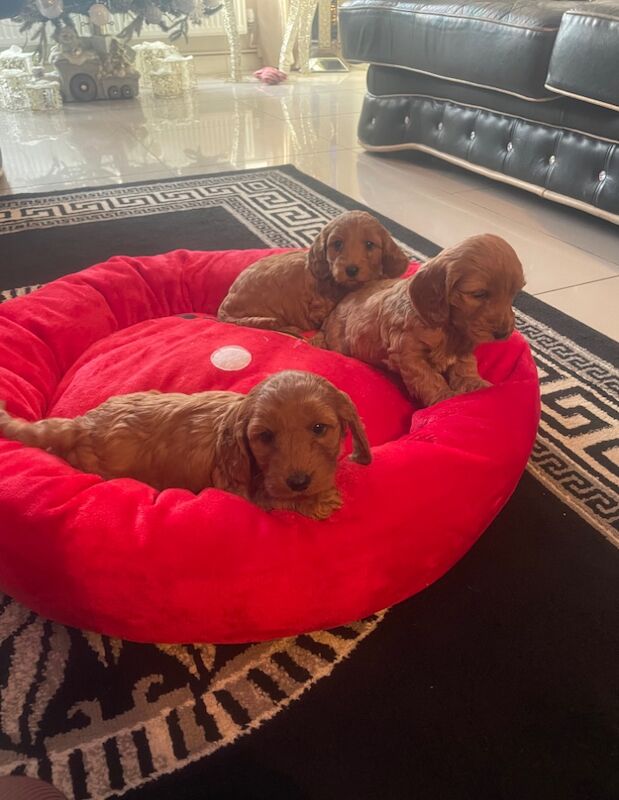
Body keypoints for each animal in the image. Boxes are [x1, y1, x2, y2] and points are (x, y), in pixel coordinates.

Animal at [0, 372, 370, 520]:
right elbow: (273, 498)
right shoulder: (237, 487)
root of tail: (80, 424)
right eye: (265, 437)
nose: (299, 482)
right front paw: (317, 501)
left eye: (319, 428)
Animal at [322, 231, 524, 406]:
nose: (503, 333)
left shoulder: (463, 347)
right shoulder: (408, 354)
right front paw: (444, 397)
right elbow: (428, 379)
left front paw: (475, 384)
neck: (448, 328)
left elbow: (465, 366)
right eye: (479, 294)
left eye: (513, 294)